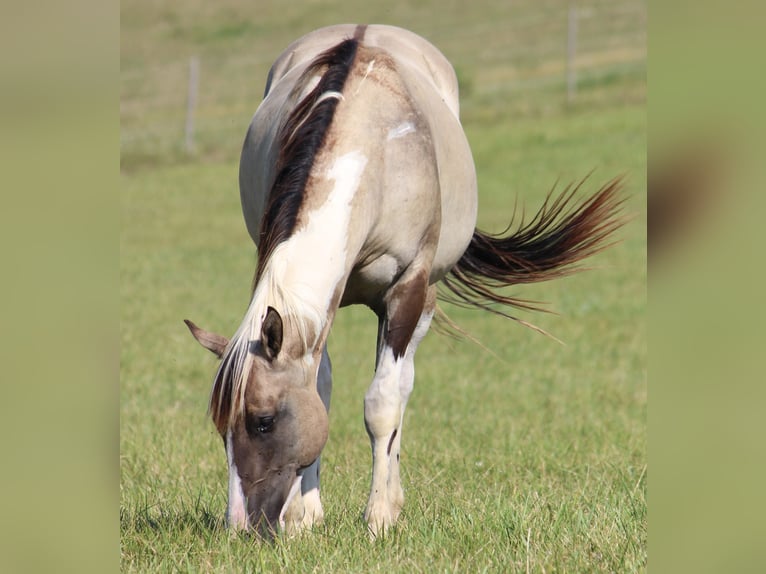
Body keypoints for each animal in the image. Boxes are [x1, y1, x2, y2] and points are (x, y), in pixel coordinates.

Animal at [185, 24, 624, 538]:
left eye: (263, 421)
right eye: (221, 428)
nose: (240, 526)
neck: (370, 147)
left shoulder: (407, 289)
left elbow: (383, 404)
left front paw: (378, 518)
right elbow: (322, 388)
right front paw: (305, 516)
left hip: (423, 301)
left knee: (402, 384)